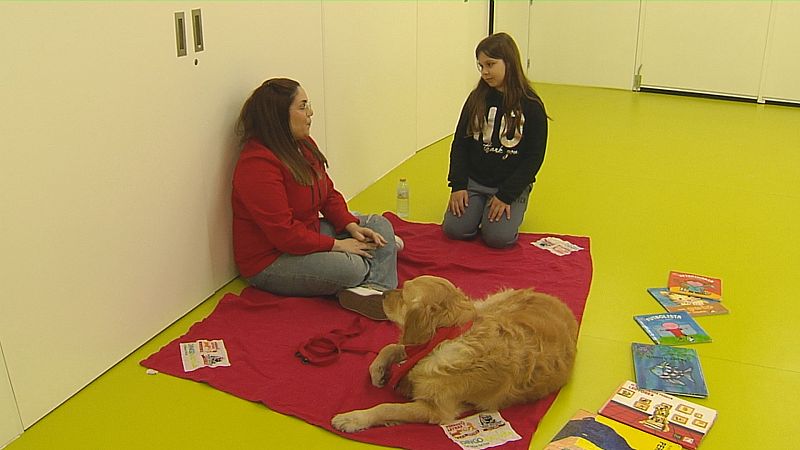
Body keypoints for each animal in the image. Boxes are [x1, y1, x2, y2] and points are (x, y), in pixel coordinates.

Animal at [328, 274, 580, 432]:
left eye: (404, 294)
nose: (382, 294)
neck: (444, 338)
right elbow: (390, 347)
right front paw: (378, 370)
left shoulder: (436, 409)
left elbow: (386, 407)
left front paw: (353, 418)